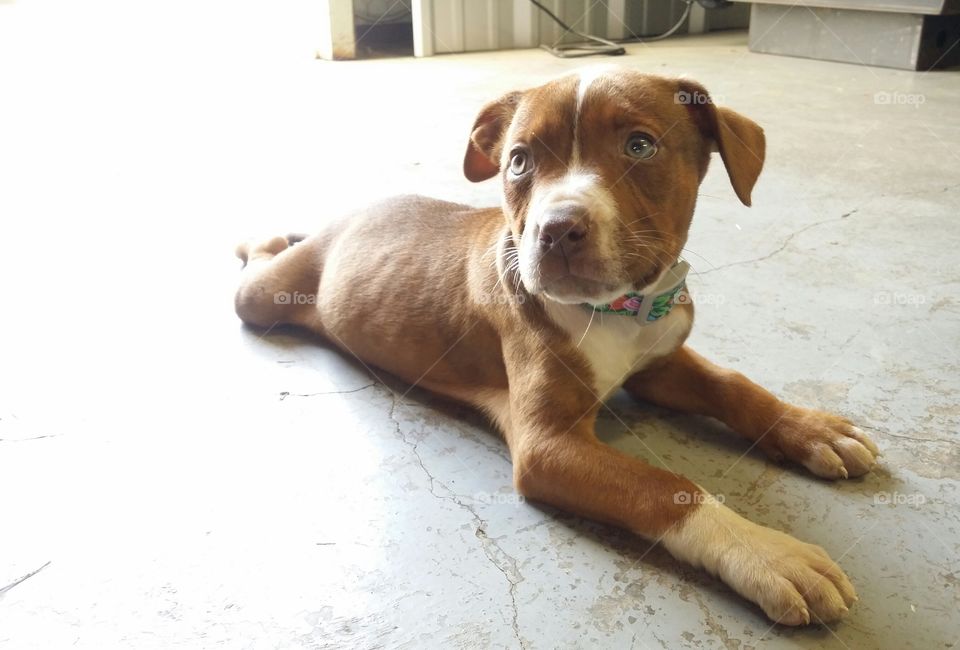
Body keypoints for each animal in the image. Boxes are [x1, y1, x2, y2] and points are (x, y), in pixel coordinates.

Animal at [232, 66, 876, 624]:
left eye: (640, 146)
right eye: (519, 160)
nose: (556, 230)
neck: (621, 312)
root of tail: (343, 218)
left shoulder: (660, 363)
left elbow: (734, 386)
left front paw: (810, 429)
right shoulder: (549, 447)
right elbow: (666, 488)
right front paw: (767, 552)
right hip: (265, 296)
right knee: (258, 269)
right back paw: (263, 238)